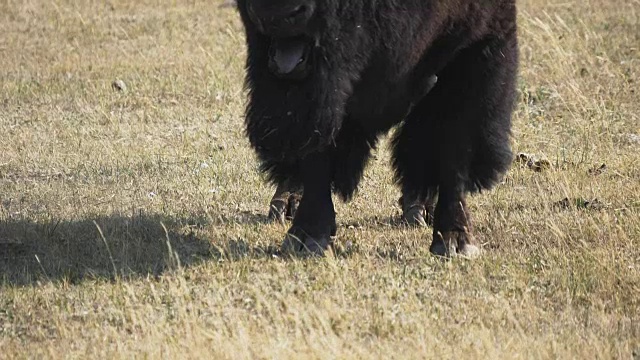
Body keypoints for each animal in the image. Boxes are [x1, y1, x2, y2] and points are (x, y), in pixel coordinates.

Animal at [238, 0, 516, 258]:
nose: (274, 15)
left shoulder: (476, 53)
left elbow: (454, 155)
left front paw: (454, 241)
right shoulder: (325, 99)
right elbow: (317, 158)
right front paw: (306, 237)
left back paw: (419, 209)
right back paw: (285, 203)